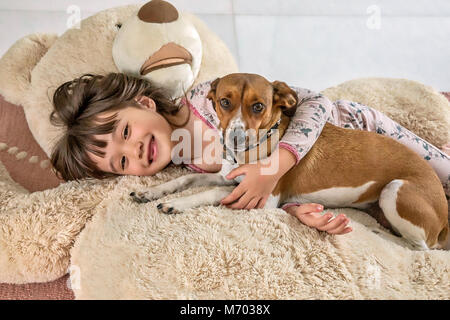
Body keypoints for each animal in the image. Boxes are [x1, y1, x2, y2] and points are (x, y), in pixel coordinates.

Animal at [130, 72, 446, 250]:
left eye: (259, 106)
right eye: (224, 102)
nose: (235, 138)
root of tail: (444, 219)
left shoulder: (261, 198)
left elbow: (210, 192)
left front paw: (176, 204)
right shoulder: (227, 175)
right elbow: (187, 177)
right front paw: (151, 192)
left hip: (395, 190)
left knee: (420, 247)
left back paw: (380, 232)